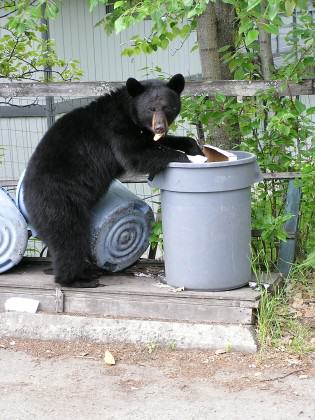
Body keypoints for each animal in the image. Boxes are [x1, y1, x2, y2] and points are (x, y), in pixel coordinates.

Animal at [24, 74, 202, 288]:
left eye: (167, 107)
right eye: (151, 108)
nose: (160, 126)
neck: (129, 112)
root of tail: (26, 198)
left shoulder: (145, 133)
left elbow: (160, 142)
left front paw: (196, 149)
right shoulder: (117, 129)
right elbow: (135, 154)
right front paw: (186, 159)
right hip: (59, 201)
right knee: (68, 237)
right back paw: (77, 280)